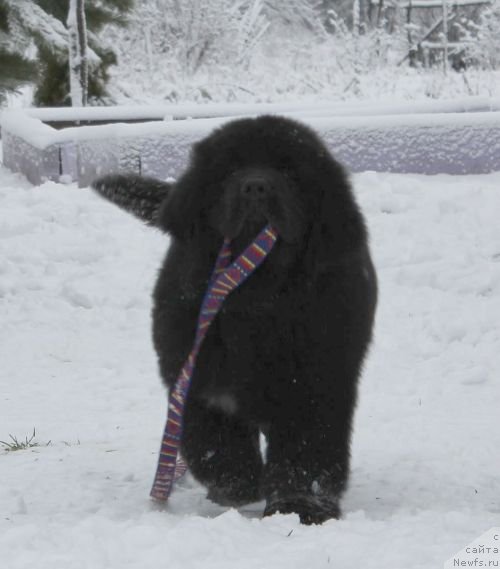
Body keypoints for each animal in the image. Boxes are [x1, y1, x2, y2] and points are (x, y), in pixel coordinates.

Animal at [93, 115, 376, 524]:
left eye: (289, 172)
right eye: (231, 170)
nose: (256, 186)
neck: (255, 296)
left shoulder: (315, 382)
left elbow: (305, 449)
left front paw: (300, 506)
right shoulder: (197, 375)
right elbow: (214, 439)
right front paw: (235, 484)